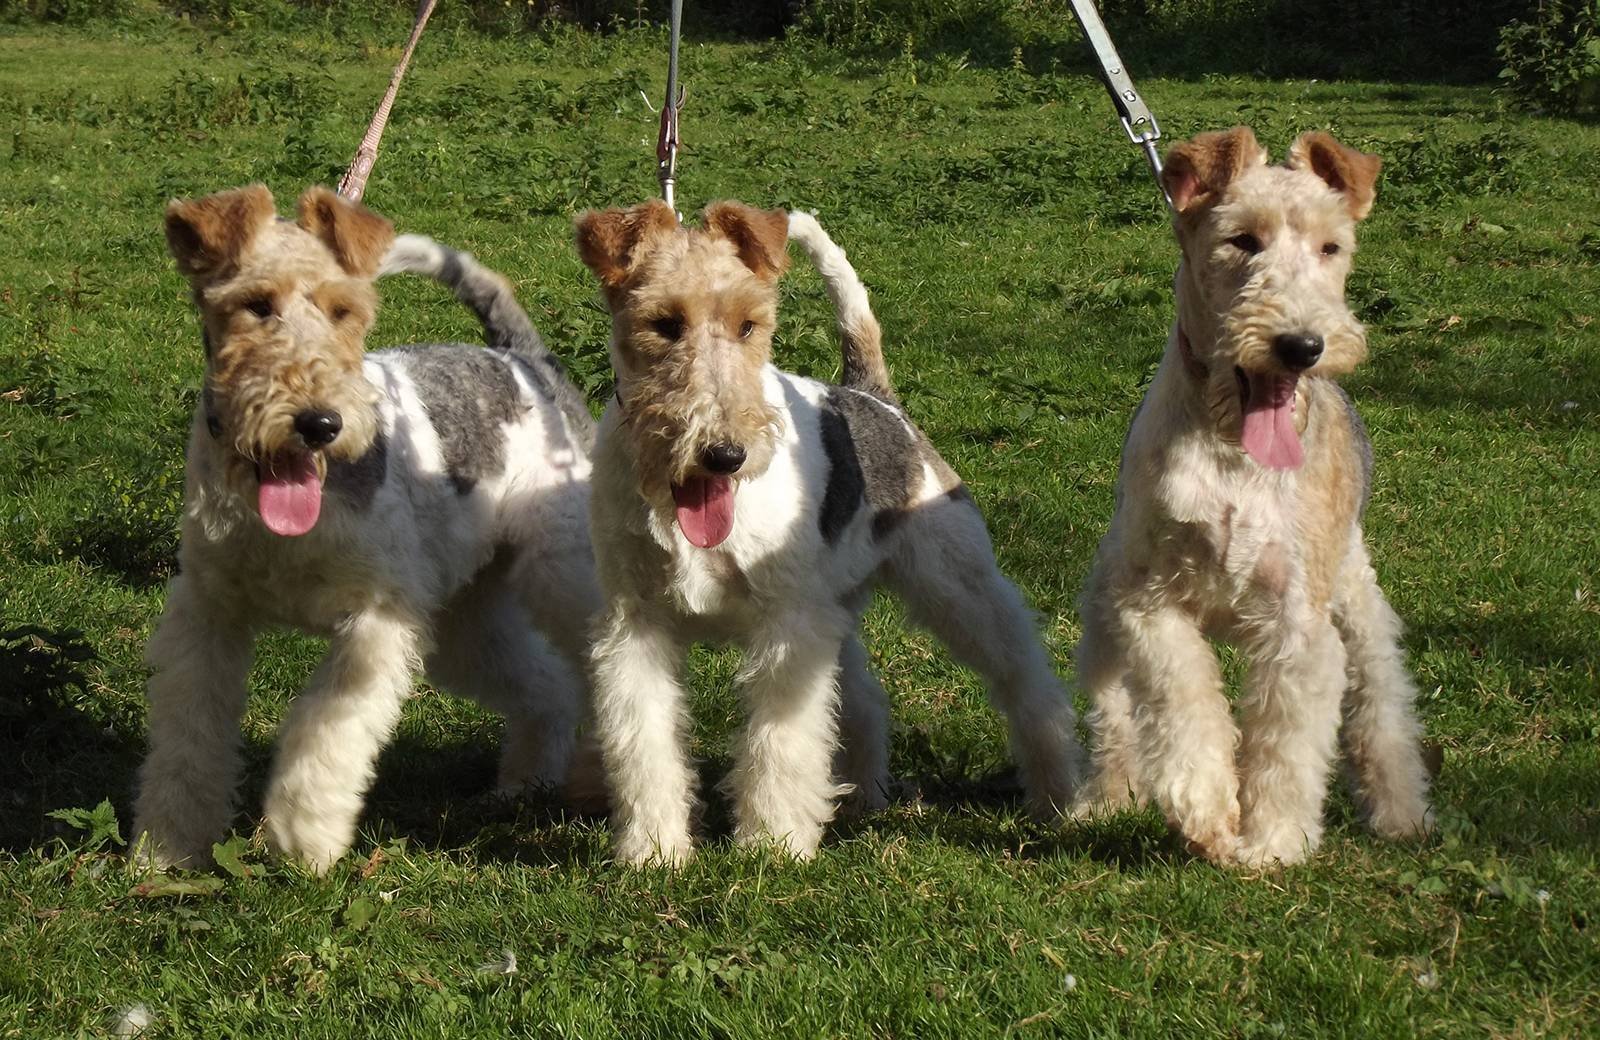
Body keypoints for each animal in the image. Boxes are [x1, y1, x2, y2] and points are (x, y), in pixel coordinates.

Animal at [132, 185, 602, 872]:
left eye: (343, 310)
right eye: (255, 305)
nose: (318, 423)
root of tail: (525, 361)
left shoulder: (376, 623)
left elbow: (325, 725)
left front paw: (299, 840)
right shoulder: (208, 613)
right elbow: (189, 737)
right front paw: (168, 848)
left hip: (560, 571)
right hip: (463, 618)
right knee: (548, 684)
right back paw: (525, 781)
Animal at [573, 200, 1084, 865]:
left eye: (750, 325)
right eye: (663, 324)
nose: (724, 455)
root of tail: (875, 397)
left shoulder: (788, 625)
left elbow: (779, 740)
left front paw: (771, 846)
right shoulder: (635, 625)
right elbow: (645, 744)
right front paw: (654, 852)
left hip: (956, 584)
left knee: (1026, 680)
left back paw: (1059, 796)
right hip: (837, 604)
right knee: (863, 700)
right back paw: (863, 795)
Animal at [1072, 128, 1435, 866]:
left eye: (1331, 247)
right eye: (1242, 240)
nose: (1301, 345)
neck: (1231, 443)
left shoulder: (1297, 622)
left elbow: (1286, 747)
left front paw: (1271, 841)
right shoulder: (1149, 604)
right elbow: (1187, 711)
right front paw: (1209, 812)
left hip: (1356, 601)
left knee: (1381, 709)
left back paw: (1402, 811)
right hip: (1104, 609)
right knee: (1115, 715)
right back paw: (1103, 796)